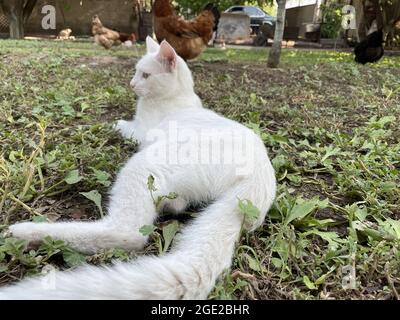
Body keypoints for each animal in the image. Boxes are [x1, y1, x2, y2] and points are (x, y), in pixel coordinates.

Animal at [0, 37, 276, 300]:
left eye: (145, 75)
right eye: (136, 72)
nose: (132, 84)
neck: (177, 98)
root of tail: (258, 183)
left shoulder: (141, 131)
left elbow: (119, 124)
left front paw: (109, 124)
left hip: (145, 165)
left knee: (127, 234)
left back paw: (27, 234)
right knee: (174, 205)